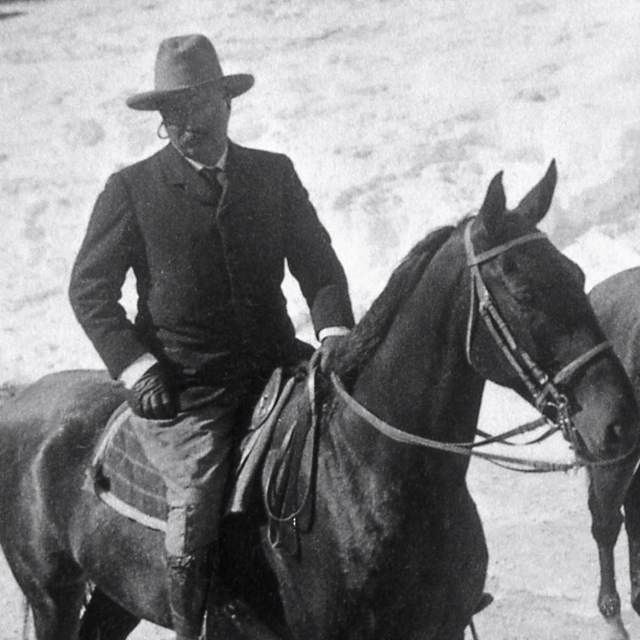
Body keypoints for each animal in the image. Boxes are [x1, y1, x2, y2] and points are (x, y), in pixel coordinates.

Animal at [0, 161, 636, 640]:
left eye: (578, 276)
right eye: (524, 292)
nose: (618, 423)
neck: (376, 475)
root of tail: (25, 403)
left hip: (114, 599)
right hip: (54, 598)